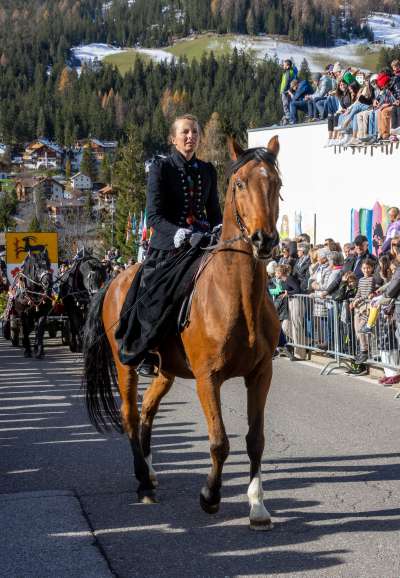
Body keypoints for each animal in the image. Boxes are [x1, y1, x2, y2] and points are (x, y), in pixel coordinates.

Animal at [82, 135, 282, 528]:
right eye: (240, 184)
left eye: (278, 185)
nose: (263, 240)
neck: (236, 295)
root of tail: (114, 278)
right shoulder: (208, 377)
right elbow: (220, 440)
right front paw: (210, 496)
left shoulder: (260, 375)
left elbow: (255, 439)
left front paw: (257, 505)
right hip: (126, 365)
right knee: (130, 416)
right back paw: (143, 483)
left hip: (165, 370)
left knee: (146, 411)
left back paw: (149, 470)